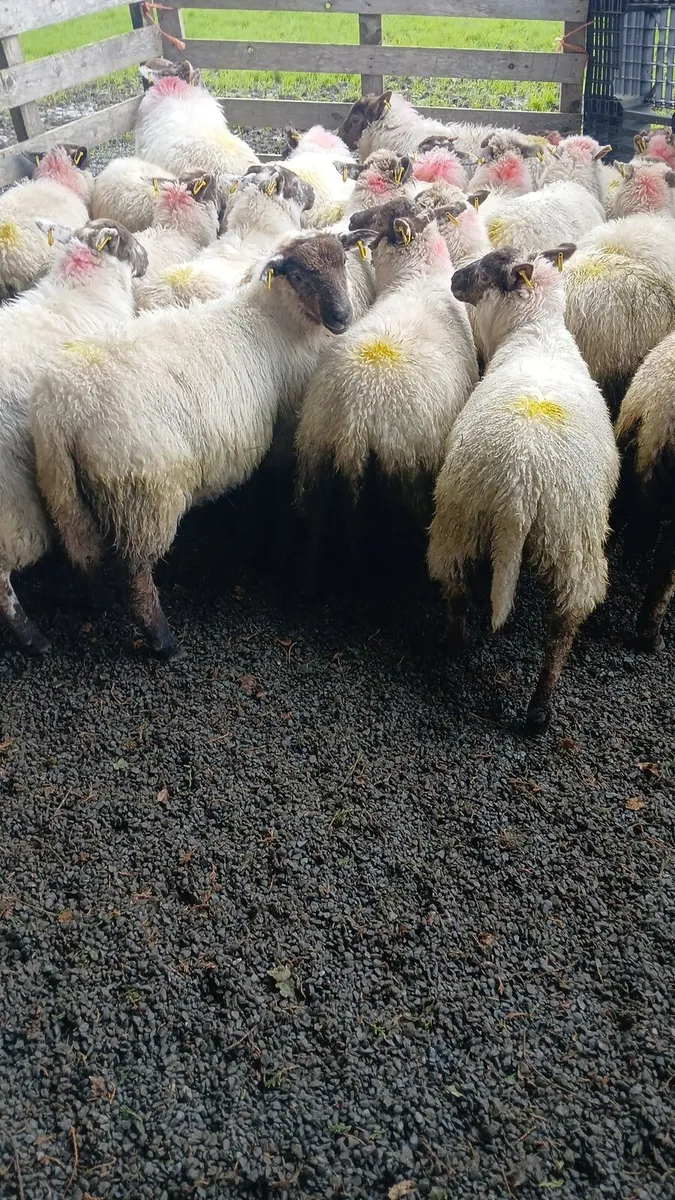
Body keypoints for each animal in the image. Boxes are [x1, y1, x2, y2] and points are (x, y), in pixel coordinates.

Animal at [31, 229, 376, 657]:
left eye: (342, 262)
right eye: (298, 275)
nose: (341, 316)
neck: (275, 320)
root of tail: (64, 408)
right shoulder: (282, 428)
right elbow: (276, 487)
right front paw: (274, 540)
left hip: (61, 487)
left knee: (83, 551)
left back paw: (99, 602)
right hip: (144, 490)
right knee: (135, 570)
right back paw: (162, 640)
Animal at [295, 200, 477, 584]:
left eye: (379, 217)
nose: (352, 219)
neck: (417, 279)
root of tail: (354, 424)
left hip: (311, 473)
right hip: (407, 486)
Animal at [427, 245, 619, 732]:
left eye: (484, 270)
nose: (452, 280)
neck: (536, 332)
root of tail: (521, 483)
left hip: (467, 518)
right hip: (560, 538)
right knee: (559, 623)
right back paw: (535, 707)